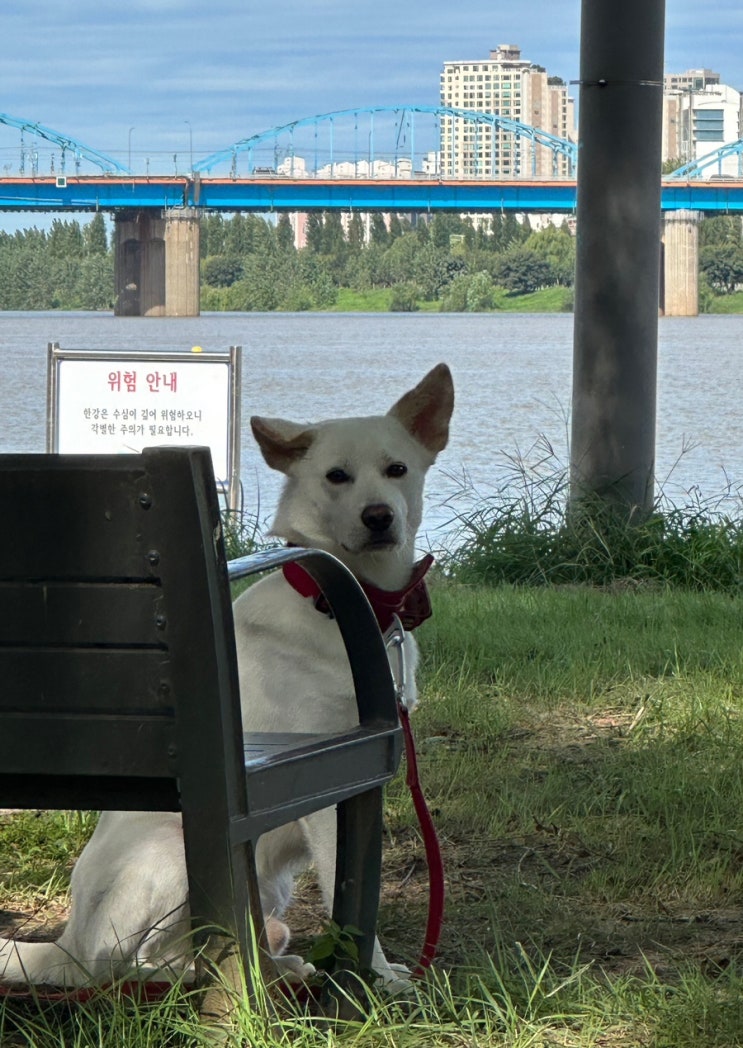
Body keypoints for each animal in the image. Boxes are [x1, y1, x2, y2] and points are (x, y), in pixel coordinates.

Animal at [0, 362, 454, 990]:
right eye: (336, 476)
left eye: (397, 469)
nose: (379, 516)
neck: (341, 605)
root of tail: (66, 944)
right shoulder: (334, 786)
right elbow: (347, 889)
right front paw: (380, 977)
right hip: (170, 859)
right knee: (139, 961)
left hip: (263, 882)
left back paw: (276, 964)